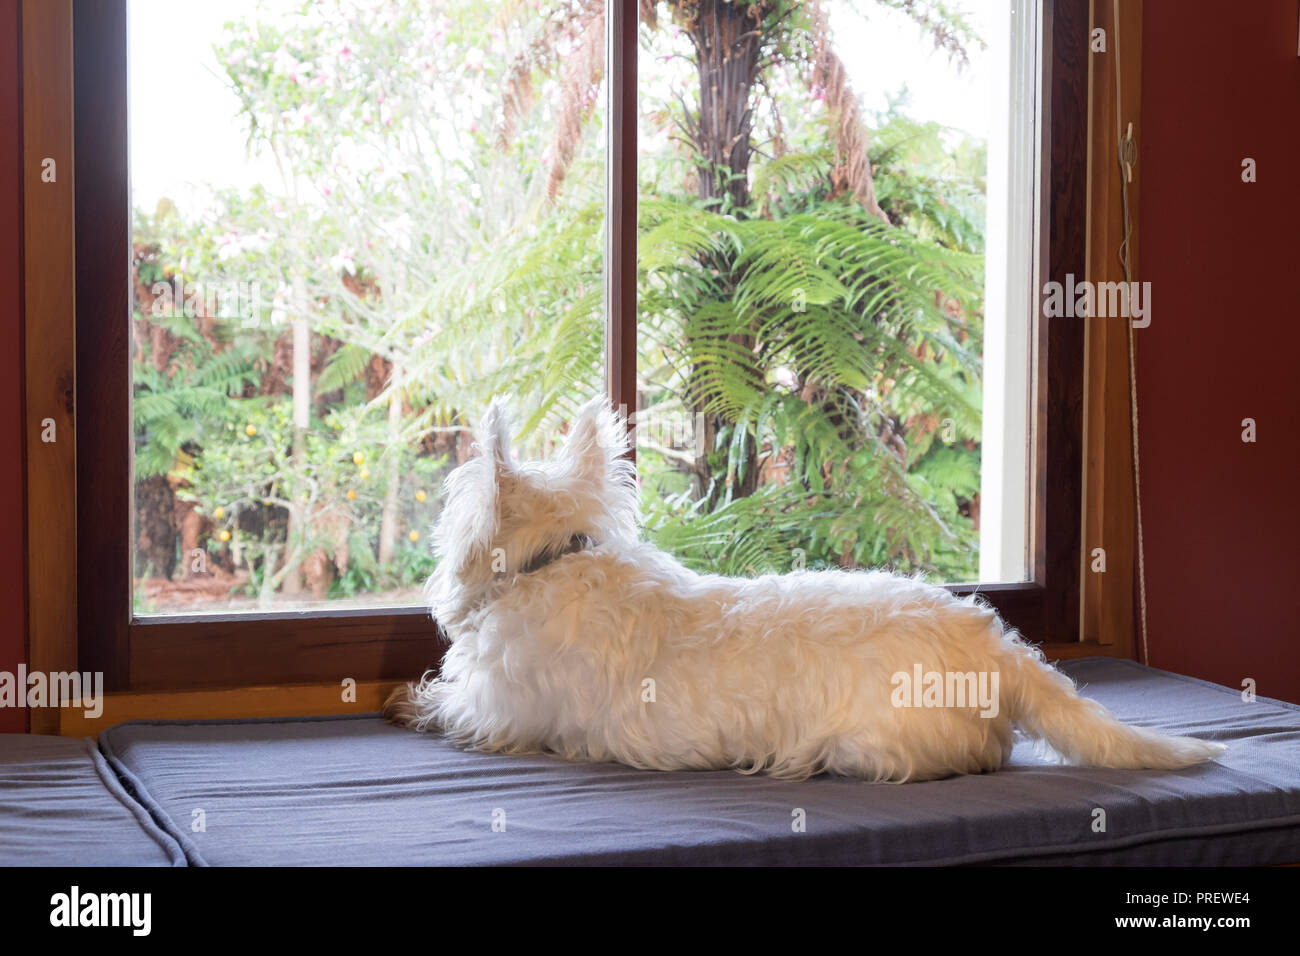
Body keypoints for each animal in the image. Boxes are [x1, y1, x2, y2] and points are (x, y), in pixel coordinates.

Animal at [387, 400, 1227, 780]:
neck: (554, 560)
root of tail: (999, 649)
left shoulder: (500, 712)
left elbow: (441, 701)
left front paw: (400, 698)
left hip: (875, 741)